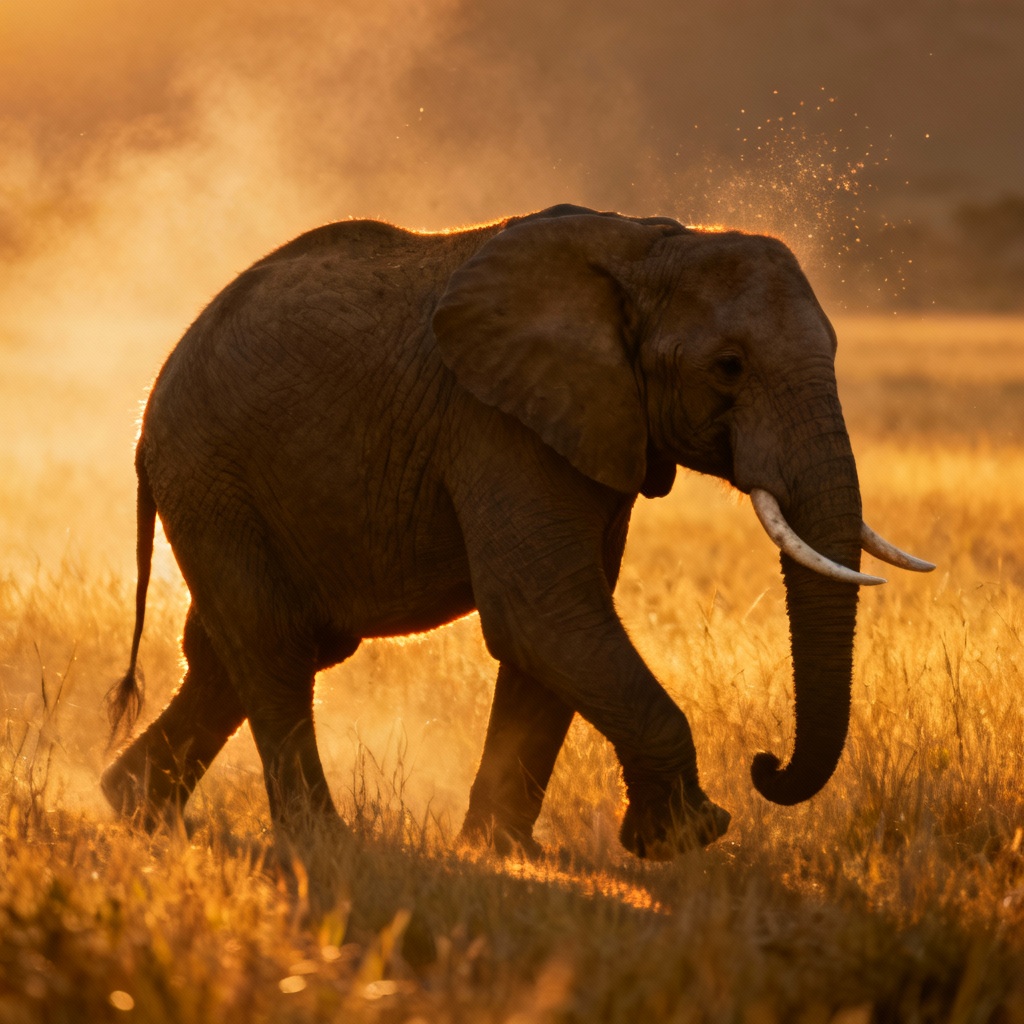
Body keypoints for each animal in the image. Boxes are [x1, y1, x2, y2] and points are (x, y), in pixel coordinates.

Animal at [101, 203, 933, 872]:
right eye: (728, 367)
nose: (765, 763)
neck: (648, 245)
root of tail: (150, 400)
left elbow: (558, 625)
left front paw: (503, 852)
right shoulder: (495, 420)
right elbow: (544, 612)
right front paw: (687, 840)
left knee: (238, 653)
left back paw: (132, 809)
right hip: (208, 473)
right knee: (273, 647)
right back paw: (324, 845)